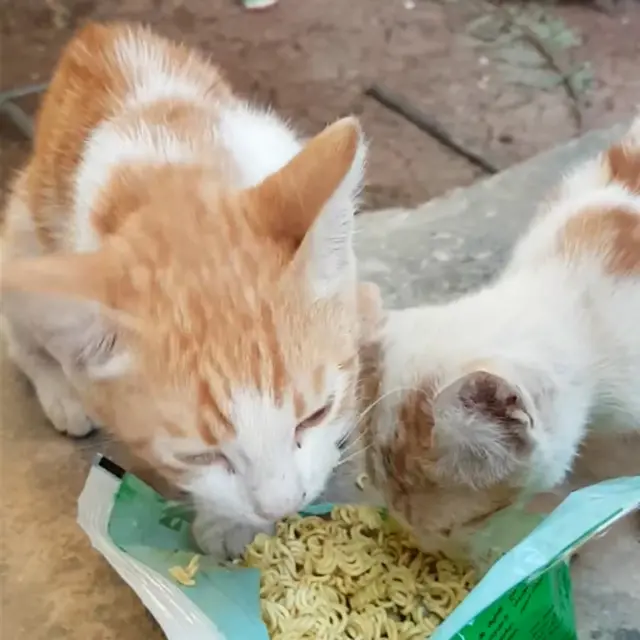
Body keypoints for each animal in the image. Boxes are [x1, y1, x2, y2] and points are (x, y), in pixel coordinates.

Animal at [1, 22, 380, 556]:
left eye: (315, 414)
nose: (283, 506)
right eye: (201, 457)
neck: (174, 168)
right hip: (23, 234)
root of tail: (98, 31)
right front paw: (229, 524)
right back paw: (63, 391)